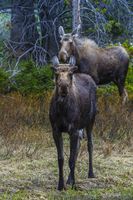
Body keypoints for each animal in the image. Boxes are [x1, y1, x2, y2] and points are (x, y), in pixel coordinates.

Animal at [49, 56, 96, 191]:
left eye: (70, 74)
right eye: (56, 73)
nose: (64, 86)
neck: (63, 110)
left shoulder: (73, 130)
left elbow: (71, 159)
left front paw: (74, 184)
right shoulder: (56, 130)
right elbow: (61, 158)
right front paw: (61, 185)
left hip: (90, 120)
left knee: (90, 144)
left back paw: (91, 173)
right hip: (80, 128)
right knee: (79, 147)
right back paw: (69, 179)